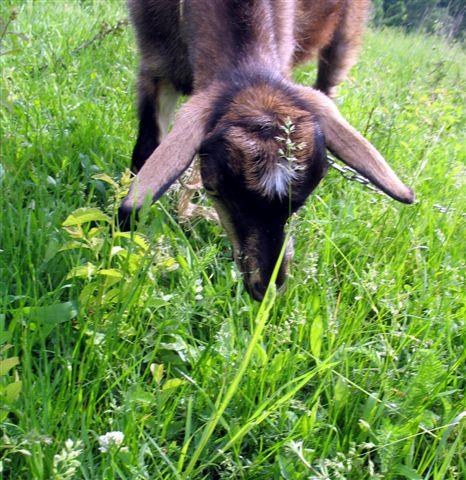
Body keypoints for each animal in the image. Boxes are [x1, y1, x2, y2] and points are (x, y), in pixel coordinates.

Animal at [119, 0, 415, 301]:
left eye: (302, 201)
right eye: (214, 187)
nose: (267, 288)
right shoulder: (156, 61)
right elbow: (144, 153)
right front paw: (122, 239)